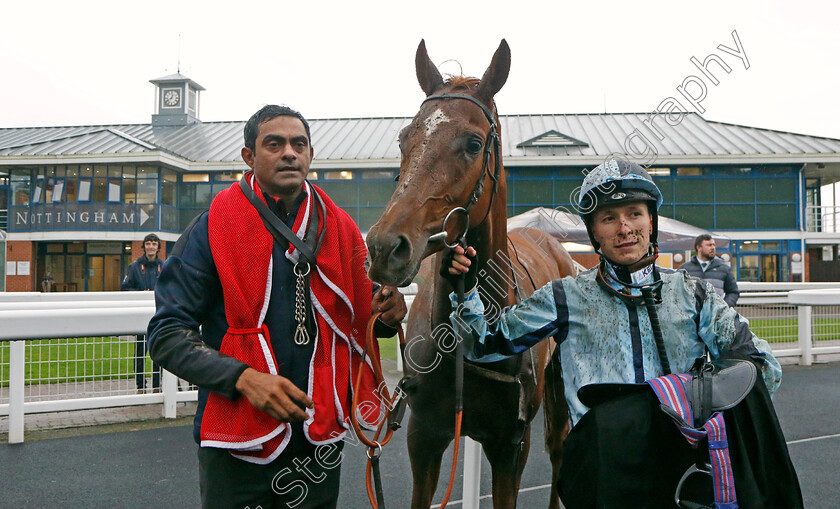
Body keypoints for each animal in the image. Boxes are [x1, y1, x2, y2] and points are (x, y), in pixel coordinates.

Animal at [368, 39, 576, 508]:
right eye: (405, 139)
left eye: (474, 142)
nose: (385, 247)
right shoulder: (422, 437)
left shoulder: (512, 446)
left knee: (559, 447)